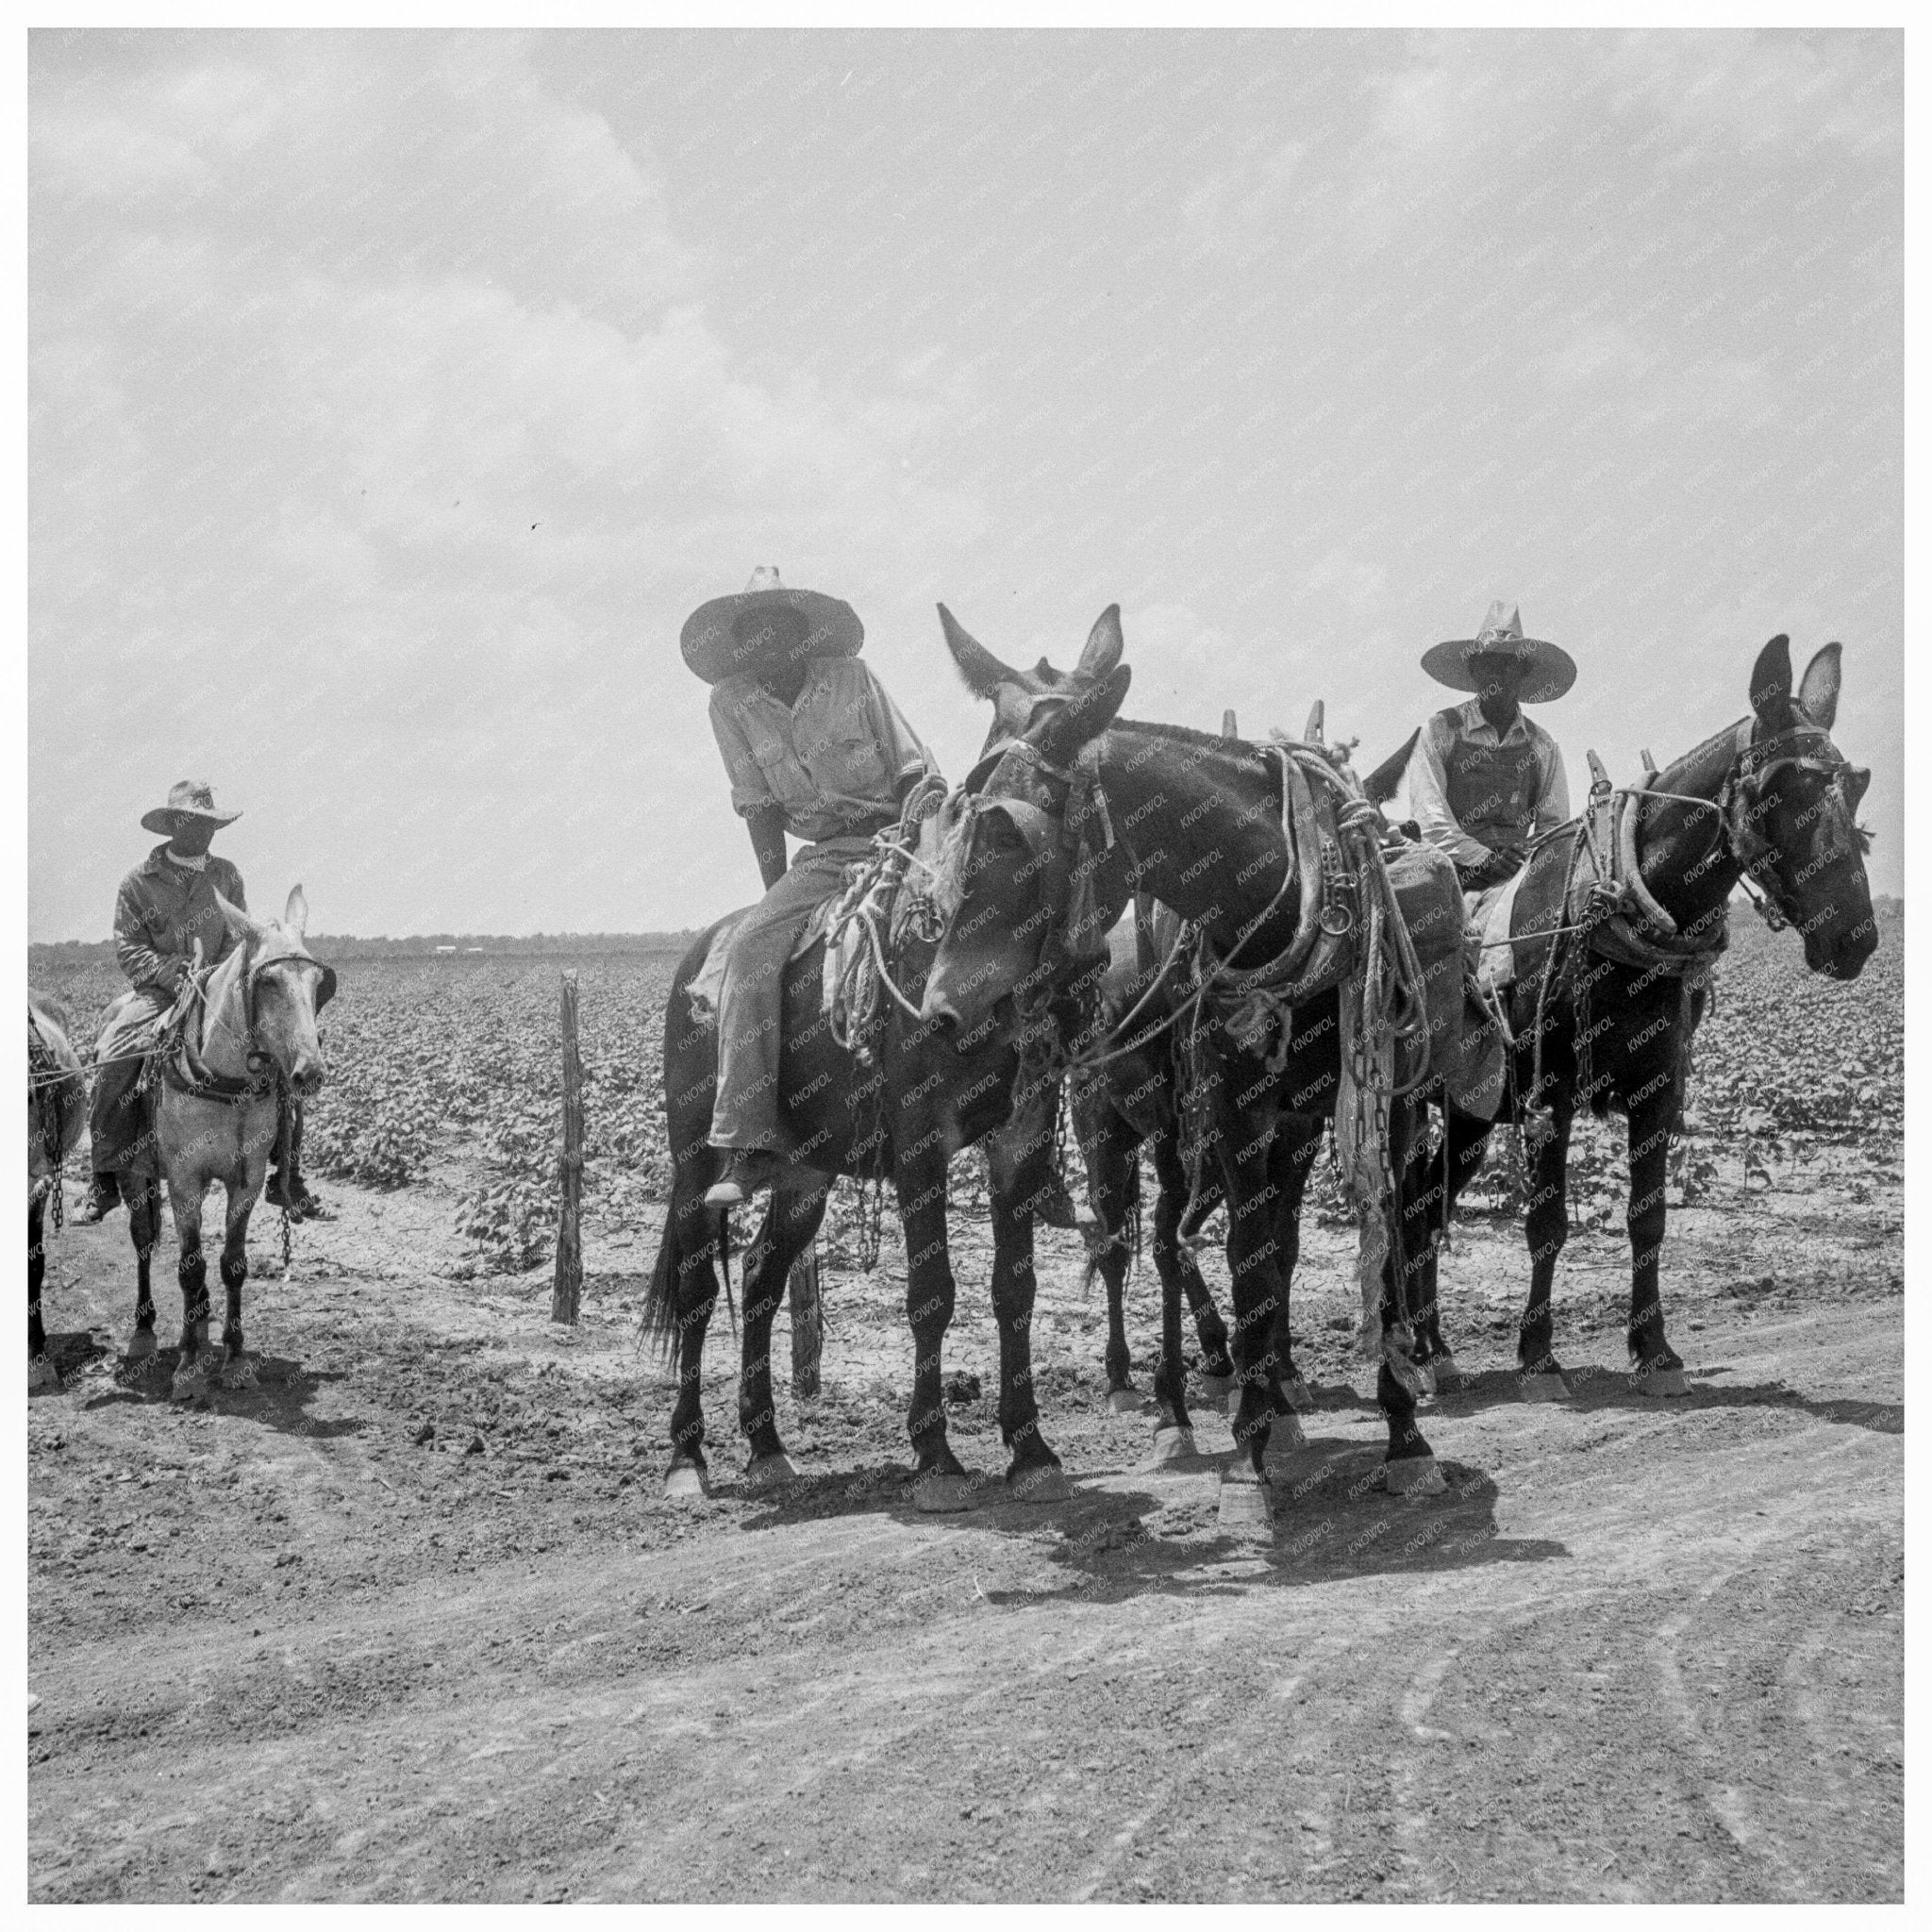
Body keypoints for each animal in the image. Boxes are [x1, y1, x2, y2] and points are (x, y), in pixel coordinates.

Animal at [118, 889, 328, 1406]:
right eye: (268, 981)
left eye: (318, 981)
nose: (310, 1072)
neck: (225, 1078)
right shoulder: (184, 1179)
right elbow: (189, 1268)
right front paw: (188, 1370)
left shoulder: (245, 1178)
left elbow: (232, 1265)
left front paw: (234, 1359)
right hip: (135, 1174)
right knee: (143, 1242)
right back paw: (146, 1332)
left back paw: (197, 1328)